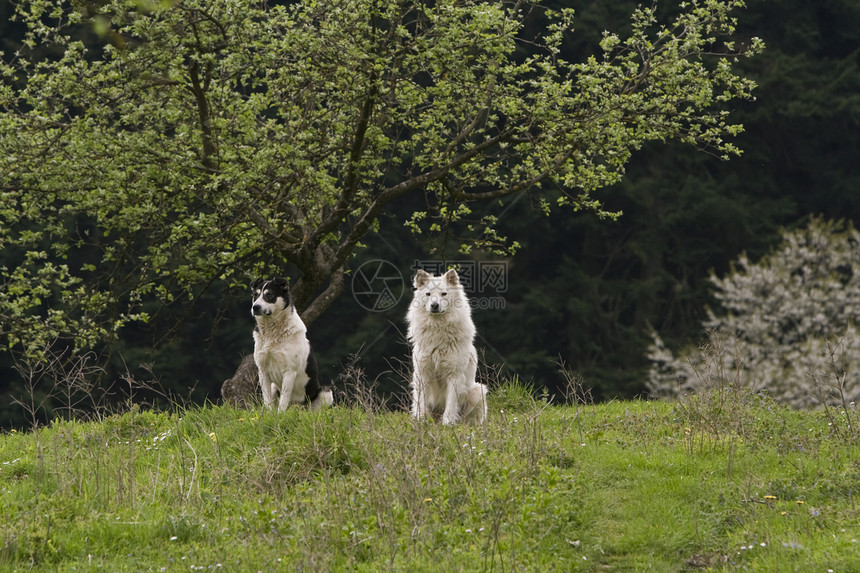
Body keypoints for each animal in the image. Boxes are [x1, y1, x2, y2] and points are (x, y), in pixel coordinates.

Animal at [250, 278, 334, 408]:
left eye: (269, 295)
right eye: (255, 295)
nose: (255, 307)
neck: (272, 333)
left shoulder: (289, 371)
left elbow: (283, 401)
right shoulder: (262, 371)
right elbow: (268, 402)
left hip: (326, 391)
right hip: (274, 387)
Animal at [406, 268, 488, 424]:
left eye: (443, 294)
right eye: (428, 294)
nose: (434, 305)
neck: (438, 330)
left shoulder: (454, 375)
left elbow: (450, 405)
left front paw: (448, 424)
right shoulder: (423, 373)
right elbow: (421, 403)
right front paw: (421, 421)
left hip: (477, 391)